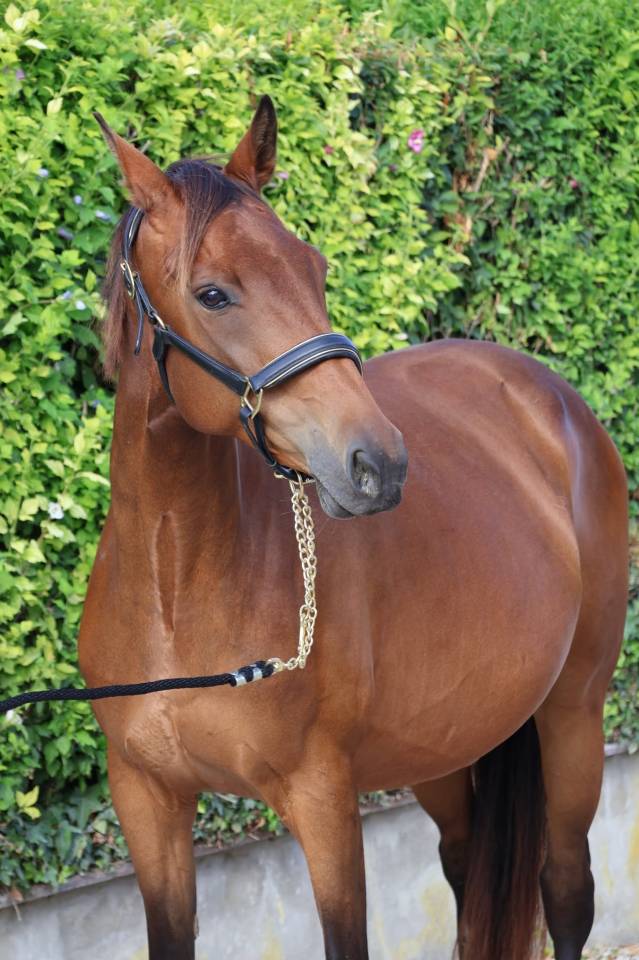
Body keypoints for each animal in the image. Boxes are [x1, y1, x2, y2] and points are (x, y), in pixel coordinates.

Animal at [80, 96, 628, 960]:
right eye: (212, 294)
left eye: (316, 270)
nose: (378, 463)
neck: (177, 584)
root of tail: (552, 399)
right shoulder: (148, 801)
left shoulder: (322, 802)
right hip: (444, 746)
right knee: (467, 872)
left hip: (573, 715)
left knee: (567, 894)